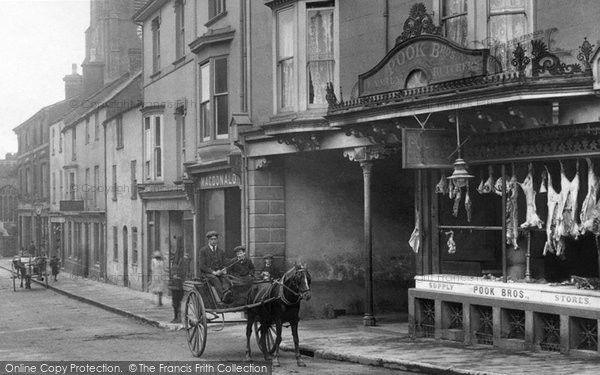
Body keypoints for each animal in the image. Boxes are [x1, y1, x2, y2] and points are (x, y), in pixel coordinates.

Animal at [184, 262, 312, 366]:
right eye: (298, 278)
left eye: (308, 278)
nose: (307, 295)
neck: (285, 295)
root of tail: (253, 286)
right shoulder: (278, 319)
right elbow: (279, 338)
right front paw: (276, 360)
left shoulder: (294, 320)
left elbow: (296, 338)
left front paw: (299, 360)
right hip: (251, 315)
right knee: (249, 332)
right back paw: (248, 355)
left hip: (265, 317)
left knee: (263, 331)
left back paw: (266, 354)